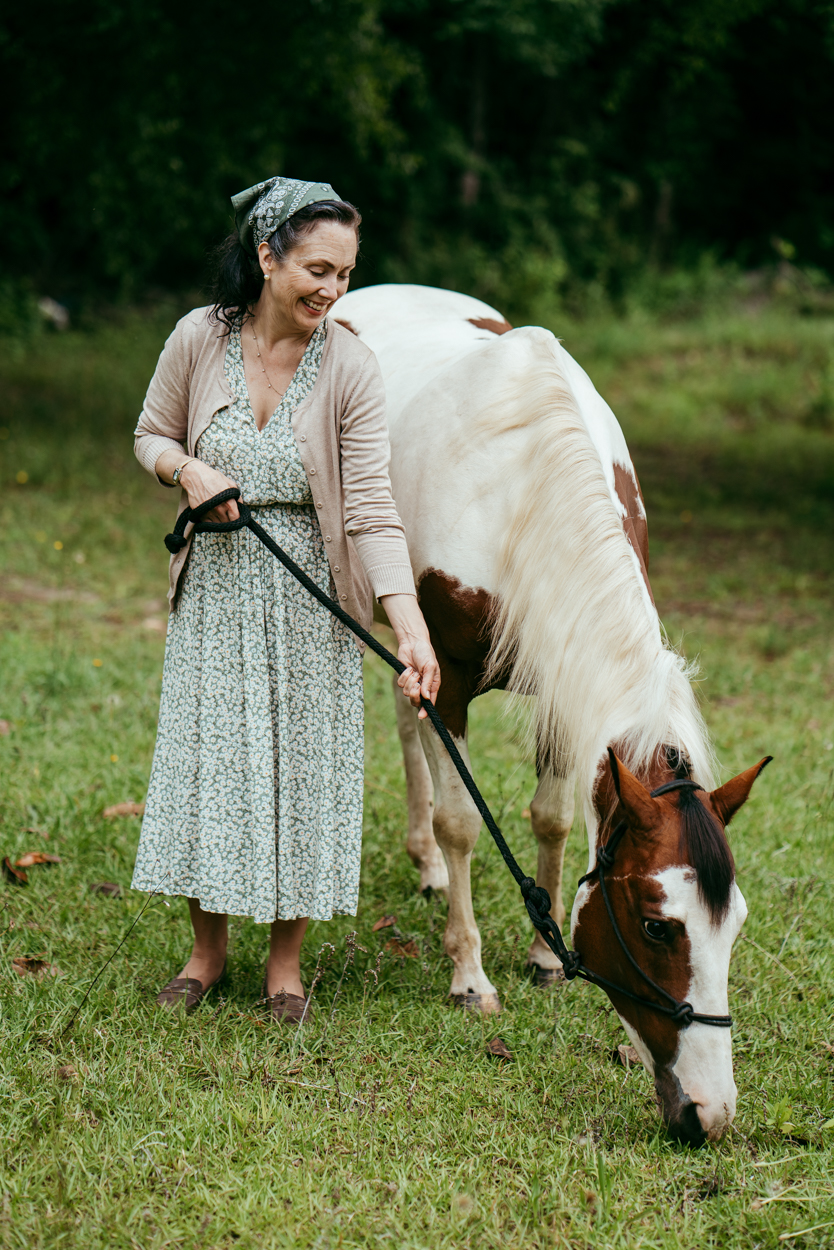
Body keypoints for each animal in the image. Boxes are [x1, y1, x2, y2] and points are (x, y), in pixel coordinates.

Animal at [335, 283, 775, 1145]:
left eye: (734, 925)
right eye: (657, 925)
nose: (708, 1115)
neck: (523, 486)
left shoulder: (565, 676)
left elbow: (552, 817)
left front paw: (544, 959)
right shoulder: (452, 679)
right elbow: (463, 823)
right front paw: (470, 976)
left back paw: (425, 868)